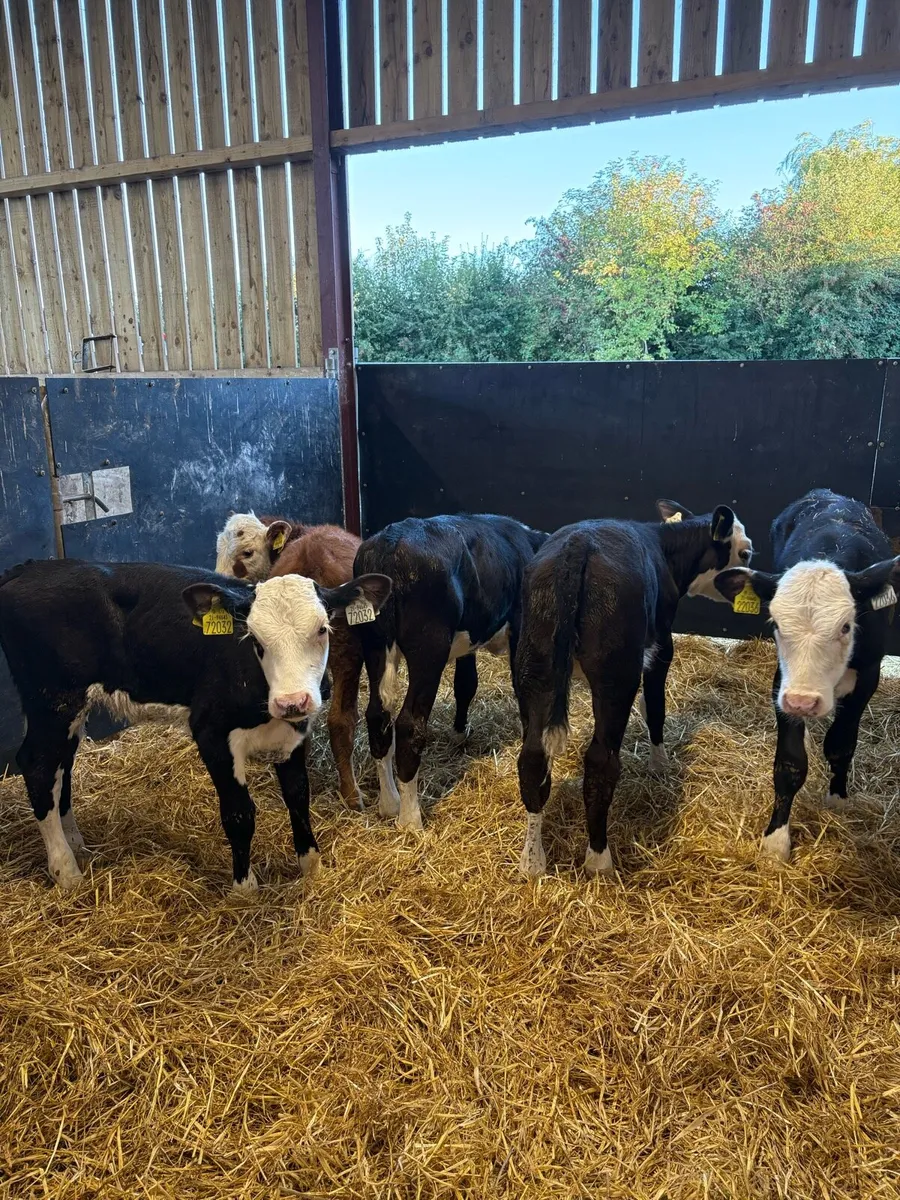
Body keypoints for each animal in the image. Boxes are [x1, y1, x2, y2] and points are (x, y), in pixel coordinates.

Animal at [0, 558, 390, 890]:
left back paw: (77, 845)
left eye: (322, 629)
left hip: (66, 709)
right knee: (36, 765)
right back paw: (66, 870)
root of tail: (29, 568)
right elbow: (239, 813)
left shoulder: (294, 733)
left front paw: (311, 868)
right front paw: (244, 890)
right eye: (254, 639)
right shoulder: (211, 733)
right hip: (52, 699)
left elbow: (298, 798)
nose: (292, 701)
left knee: (60, 766)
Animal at [354, 514, 548, 832]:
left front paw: (459, 733)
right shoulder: (520, 629)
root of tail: (390, 542)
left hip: (375, 643)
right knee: (409, 725)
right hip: (429, 648)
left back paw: (389, 804)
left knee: (378, 716)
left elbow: (466, 684)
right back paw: (410, 820)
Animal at [515, 500, 753, 878]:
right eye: (744, 552)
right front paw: (659, 765)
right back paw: (599, 859)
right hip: (617, 677)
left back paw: (532, 861)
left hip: (534, 666)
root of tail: (578, 546)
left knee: (533, 759)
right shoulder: (661, 646)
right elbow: (655, 708)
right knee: (600, 762)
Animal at [715, 489, 900, 862]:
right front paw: (776, 840)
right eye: (775, 624)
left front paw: (837, 798)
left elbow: (841, 745)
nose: (804, 701)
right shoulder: (782, 685)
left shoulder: (868, 676)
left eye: (846, 626)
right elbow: (790, 763)